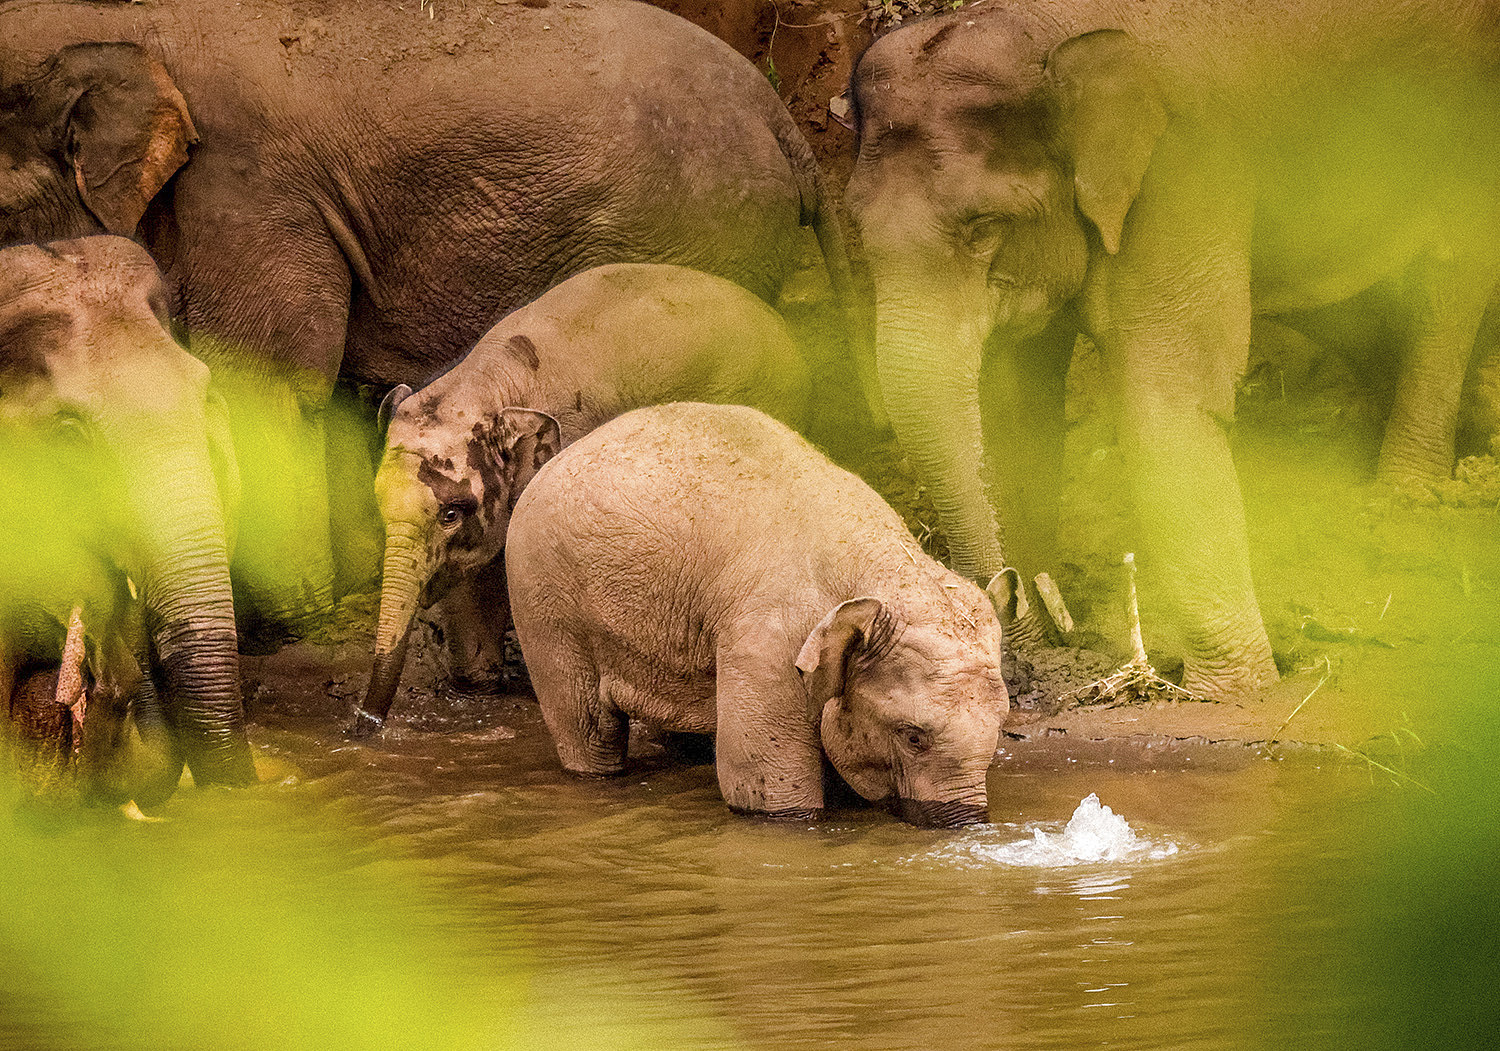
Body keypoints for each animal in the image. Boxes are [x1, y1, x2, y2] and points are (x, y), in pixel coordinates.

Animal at [506, 403, 1013, 827]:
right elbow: (764, 787)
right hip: (544, 601)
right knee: (588, 729)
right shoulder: (767, 640)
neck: (887, 565)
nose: (968, 828)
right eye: (913, 737)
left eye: (1001, 726)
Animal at [842, 1, 1500, 698]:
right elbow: (1010, 410)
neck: (1044, 32)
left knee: (1452, 268)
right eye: (855, 224)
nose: (1021, 594)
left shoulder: (1184, 170)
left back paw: (1404, 497)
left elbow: (1165, 399)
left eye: (986, 225)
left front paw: (1237, 693)